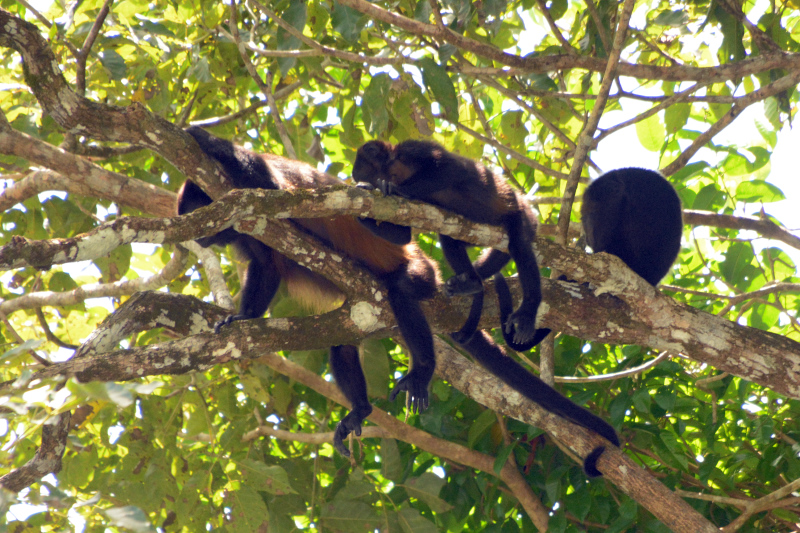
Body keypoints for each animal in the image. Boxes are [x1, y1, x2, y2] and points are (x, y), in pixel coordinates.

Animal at [177, 127, 440, 456]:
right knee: (341, 344)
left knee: (403, 292)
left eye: (199, 219)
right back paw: (361, 409)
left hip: (421, 272)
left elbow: (271, 184)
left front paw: (206, 138)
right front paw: (243, 318)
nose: (197, 240)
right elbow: (267, 265)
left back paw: (423, 370)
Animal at [354, 139, 552, 352]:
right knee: (449, 239)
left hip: (521, 217)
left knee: (519, 246)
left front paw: (398, 189)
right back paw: (473, 284)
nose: (362, 183)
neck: (391, 168)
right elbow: (403, 235)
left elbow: (455, 169)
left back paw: (527, 313)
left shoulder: (413, 148)